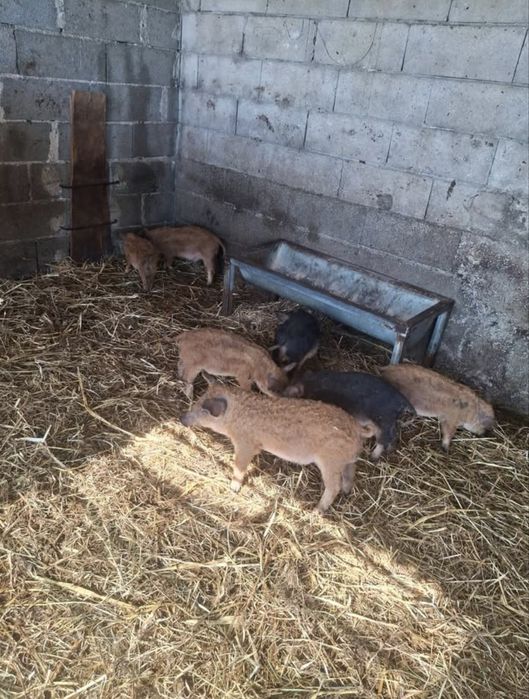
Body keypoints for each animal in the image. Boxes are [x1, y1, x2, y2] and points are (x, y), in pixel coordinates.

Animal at [180, 383, 377, 514]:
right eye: (197, 401)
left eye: (203, 411)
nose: (182, 419)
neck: (234, 417)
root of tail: (358, 428)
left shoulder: (245, 444)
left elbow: (239, 465)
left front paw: (233, 487)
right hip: (346, 459)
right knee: (350, 471)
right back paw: (346, 491)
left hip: (330, 462)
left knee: (333, 486)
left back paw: (315, 511)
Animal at [284, 370, 414, 460]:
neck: (311, 385)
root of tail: (401, 400)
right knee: (393, 435)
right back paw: (389, 450)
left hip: (384, 419)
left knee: (385, 438)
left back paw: (373, 457)